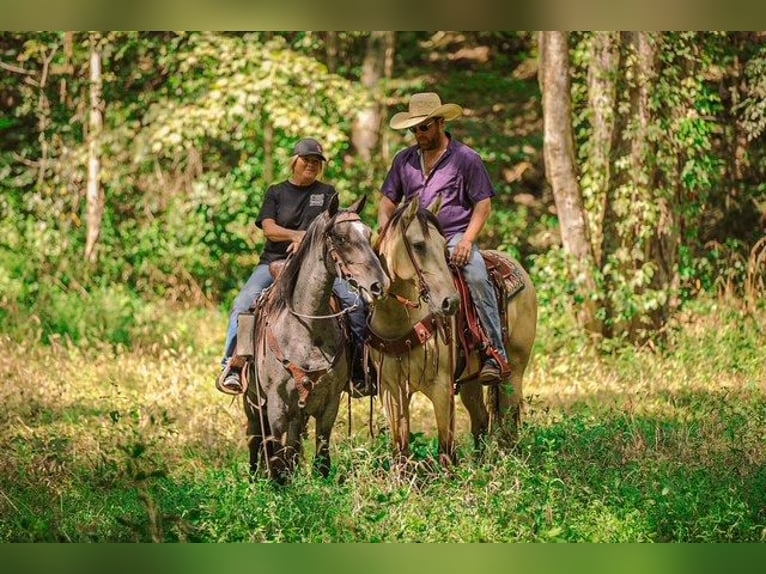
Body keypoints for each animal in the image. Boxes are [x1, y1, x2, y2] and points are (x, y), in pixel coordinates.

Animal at [242, 194, 389, 483]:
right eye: (341, 238)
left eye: (368, 234)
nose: (379, 284)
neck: (307, 329)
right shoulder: (276, 404)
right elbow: (276, 454)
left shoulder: (329, 401)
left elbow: (321, 454)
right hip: (252, 402)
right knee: (256, 440)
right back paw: (254, 477)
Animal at [368, 197, 537, 468]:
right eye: (418, 245)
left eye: (444, 247)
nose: (451, 302)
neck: (399, 321)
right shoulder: (391, 389)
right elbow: (400, 450)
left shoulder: (441, 386)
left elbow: (446, 449)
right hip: (471, 380)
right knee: (480, 421)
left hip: (515, 372)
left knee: (509, 423)